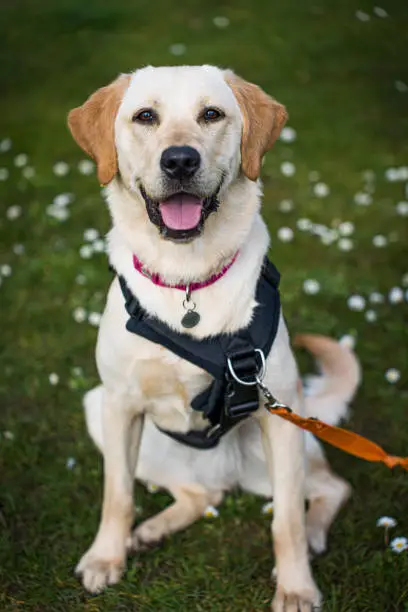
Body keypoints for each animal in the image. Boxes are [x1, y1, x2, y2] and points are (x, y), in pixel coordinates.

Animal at [67, 64, 360, 608]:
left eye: (211, 114)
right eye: (145, 116)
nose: (180, 160)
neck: (187, 281)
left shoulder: (279, 416)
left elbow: (286, 521)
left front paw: (296, 586)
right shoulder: (119, 405)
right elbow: (117, 496)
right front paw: (106, 557)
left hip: (285, 448)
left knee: (328, 488)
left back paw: (313, 535)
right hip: (101, 410)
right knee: (201, 494)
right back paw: (151, 529)